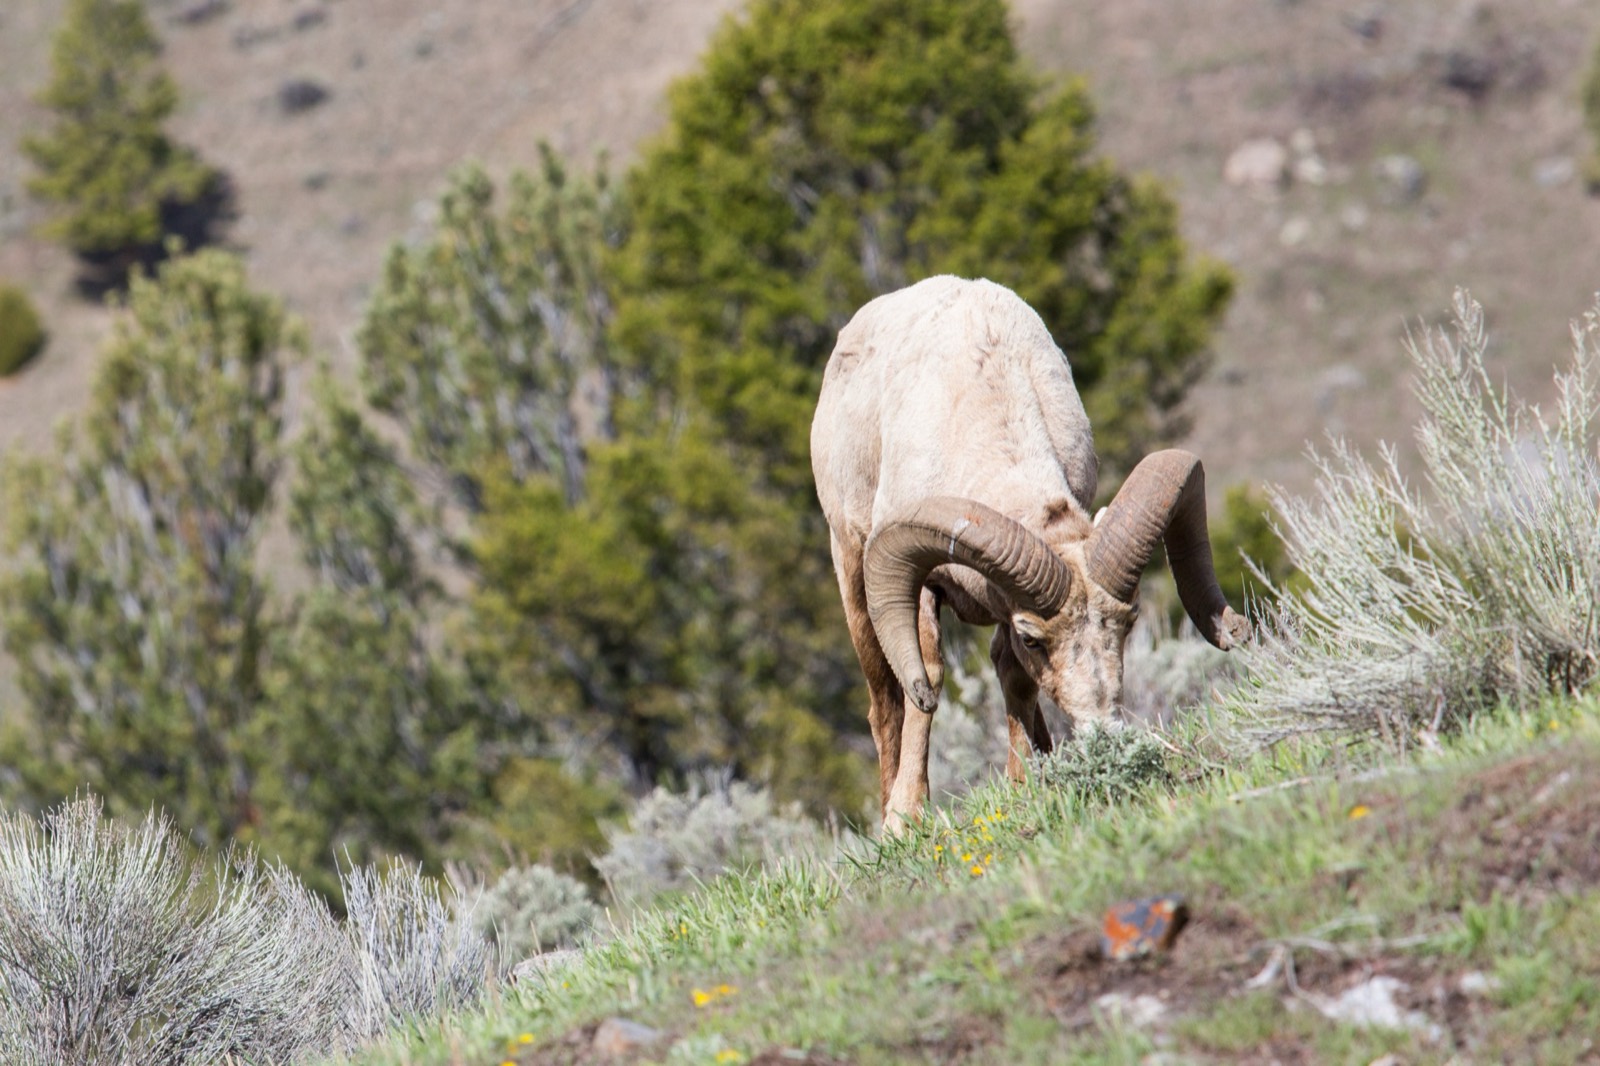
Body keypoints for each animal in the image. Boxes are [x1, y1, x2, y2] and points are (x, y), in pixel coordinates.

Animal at [810, 275, 1249, 829]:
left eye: (1128, 623)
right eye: (1034, 638)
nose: (1103, 734)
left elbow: (1014, 676)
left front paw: (1025, 782)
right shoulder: (920, 583)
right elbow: (926, 679)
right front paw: (904, 818)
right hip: (851, 568)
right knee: (885, 698)